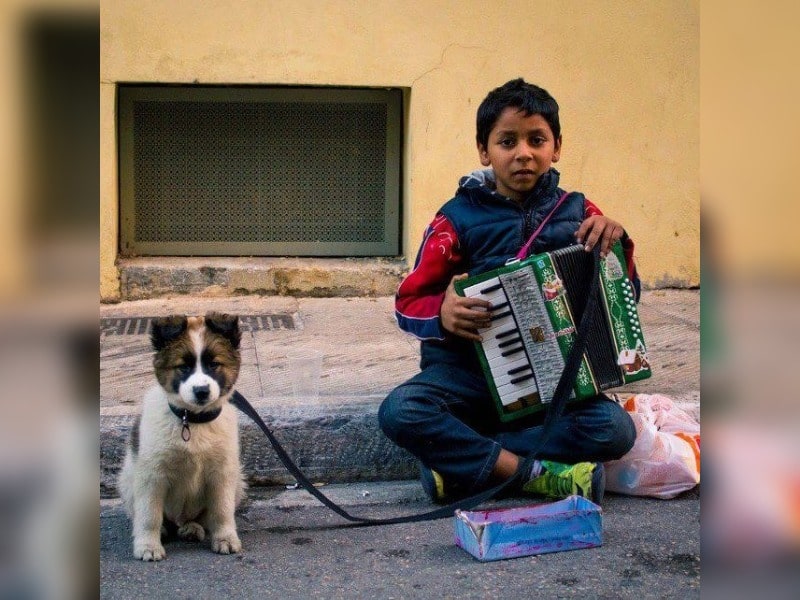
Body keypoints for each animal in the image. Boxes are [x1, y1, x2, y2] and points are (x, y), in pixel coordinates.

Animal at [117, 312, 245, 560]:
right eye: (183, 367)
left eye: (214, 364)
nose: (202, 391)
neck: (191, 421)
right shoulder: (151, 475)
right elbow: (149, 515)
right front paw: (148, 546)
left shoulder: (223, 473)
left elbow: (221, 511)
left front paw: (225, 538)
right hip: (128, 480)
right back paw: (164, 530)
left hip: (238, 483)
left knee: (198, 518)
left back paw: (192, 528)